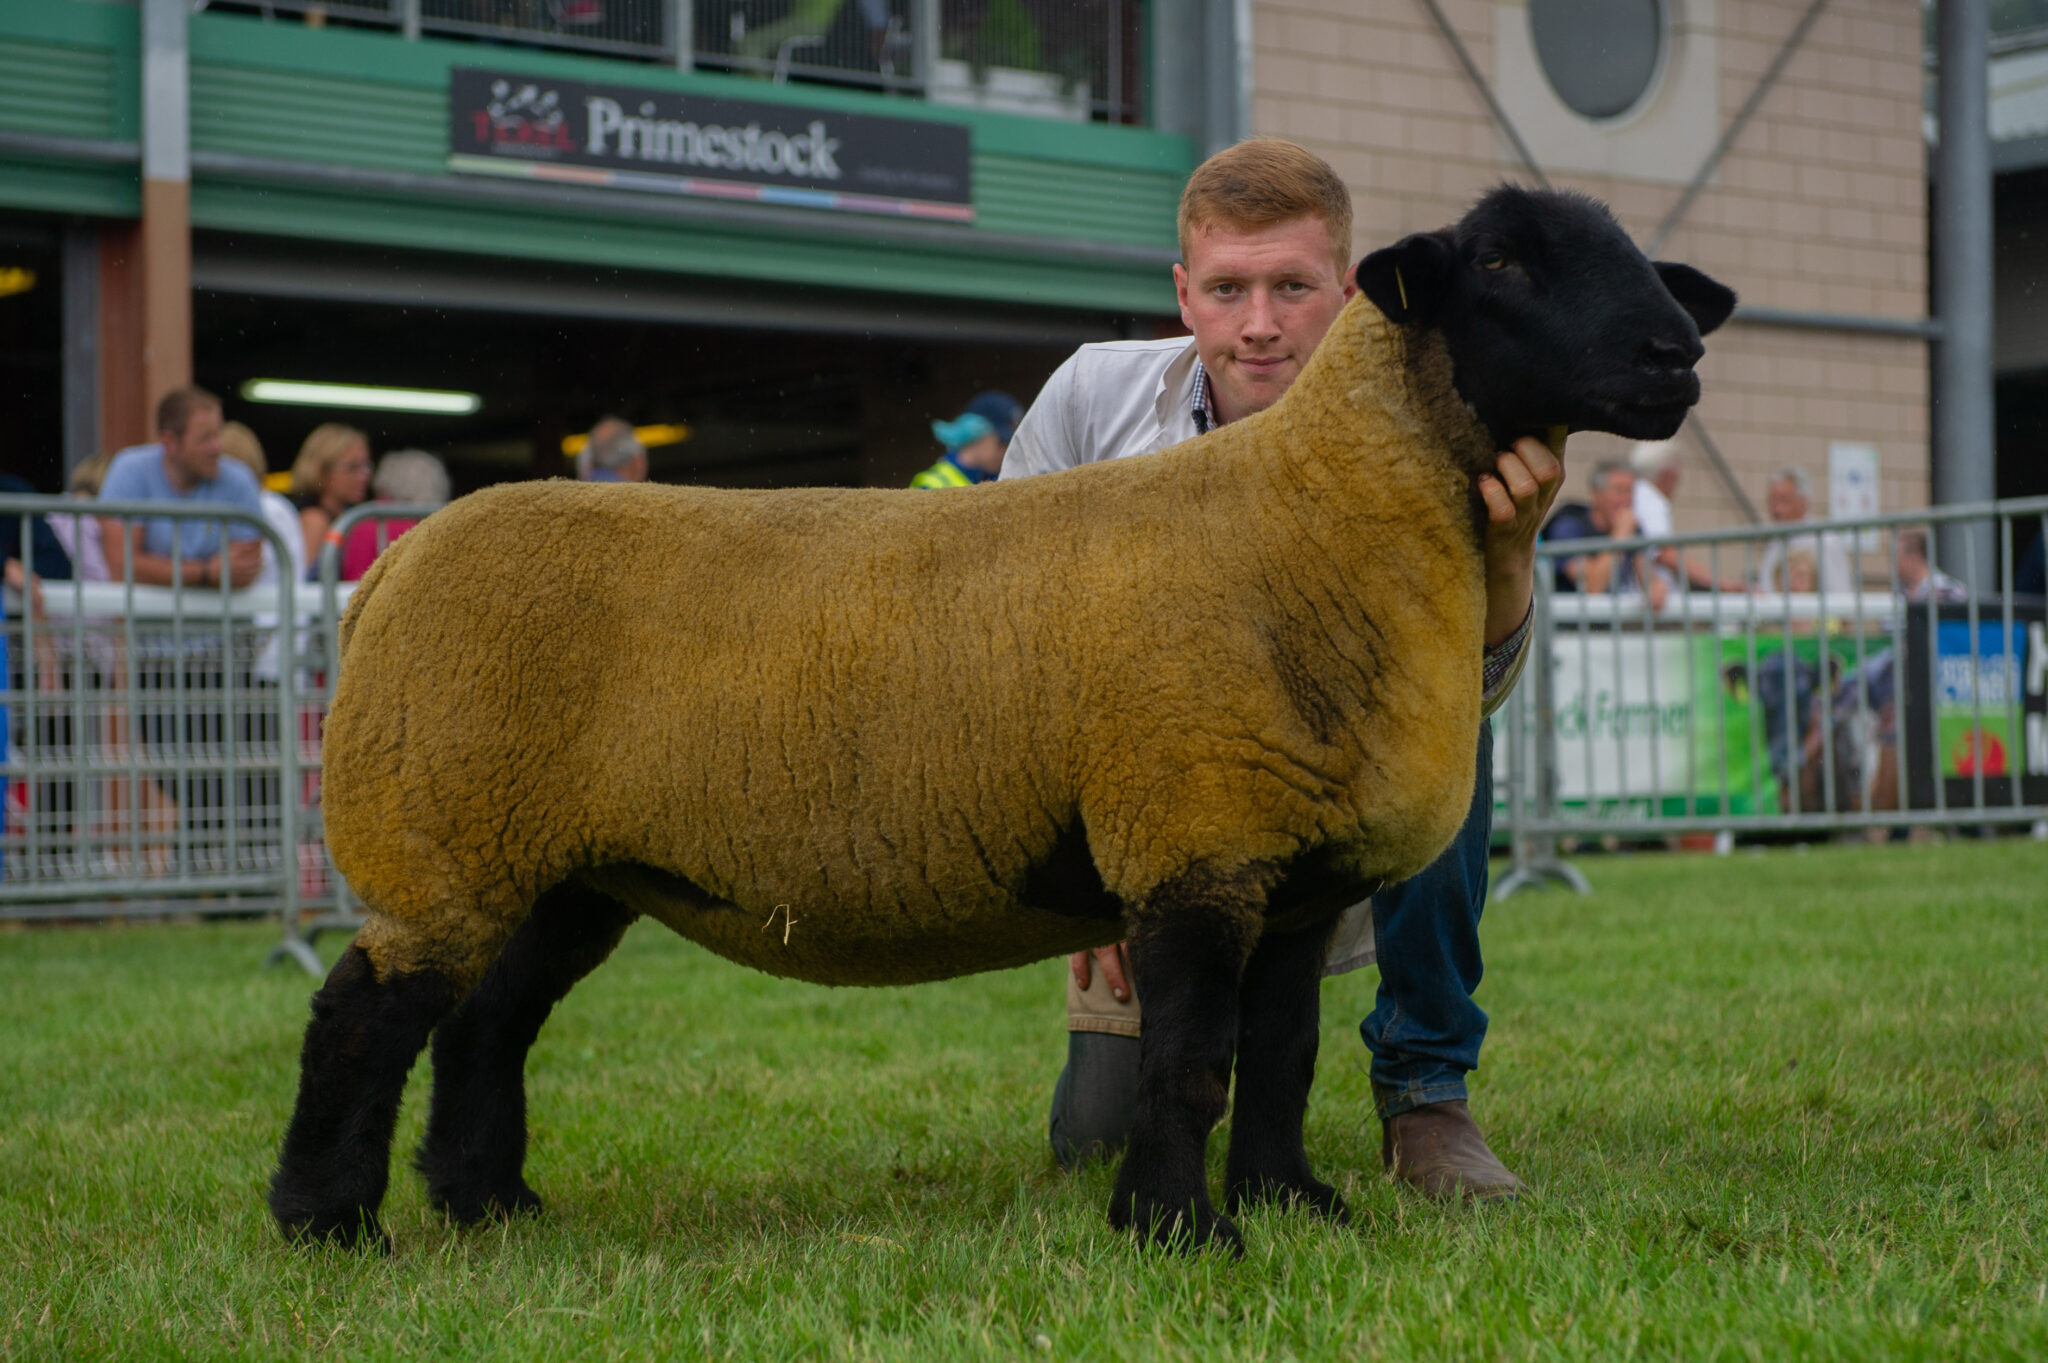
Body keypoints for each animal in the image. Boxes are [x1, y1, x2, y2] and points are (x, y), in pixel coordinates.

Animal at [270, 186, 1734, 1256]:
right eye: (1500, 261)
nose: (1677, 352)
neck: (1318, 509)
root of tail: (391, 568)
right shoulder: (1190, 837)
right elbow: (1193, 1059)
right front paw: (1178, 1231)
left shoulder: (1289, 872)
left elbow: (1281, 1053)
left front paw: (1288, 1204)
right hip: (443, 830)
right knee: (363, 1011)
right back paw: (331, 1225)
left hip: (558, 862)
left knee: (484, 1021)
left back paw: (488, 1203)